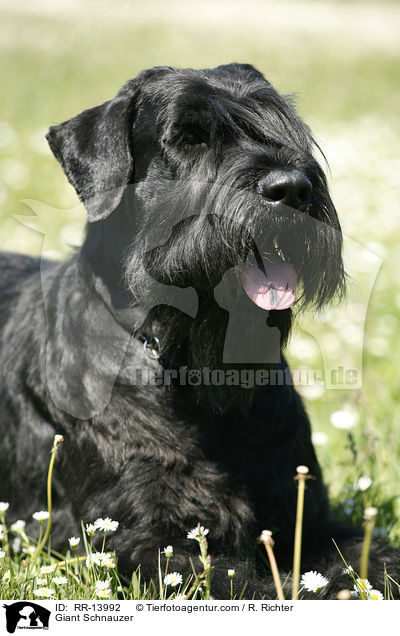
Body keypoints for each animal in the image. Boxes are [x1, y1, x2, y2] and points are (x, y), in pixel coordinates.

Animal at [0, 64, 396, 596]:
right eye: (189, 137)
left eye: (281, 124)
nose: (292, 189)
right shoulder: (143, 541)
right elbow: (240, 582)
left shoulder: (308, 520)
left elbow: (371, 555)